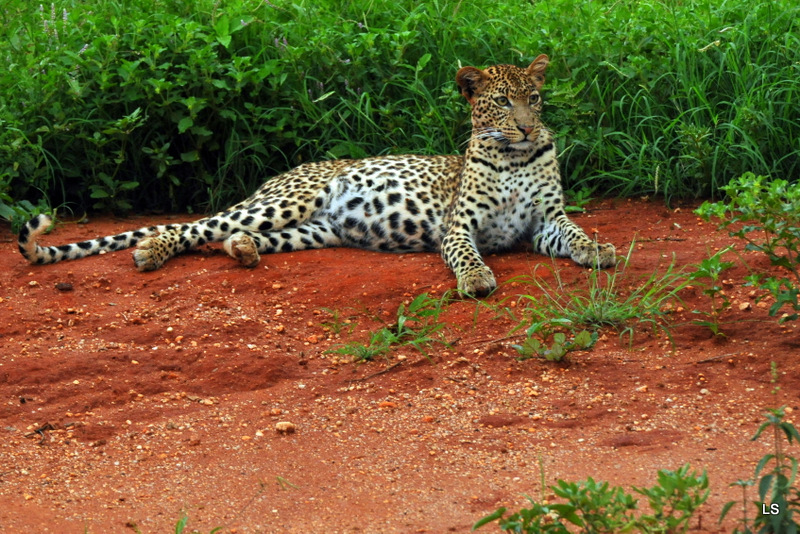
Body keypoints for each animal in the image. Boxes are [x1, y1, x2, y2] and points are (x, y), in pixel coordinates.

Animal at [20, 56, 620, 300]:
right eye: (501, 103)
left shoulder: (545, 220)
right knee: (192, 227)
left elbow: (573, 232)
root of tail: (286, 174)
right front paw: (475, 281)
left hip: (316, 228)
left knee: (233, 238)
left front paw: (600, 250)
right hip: (285, 202)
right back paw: (152, 251)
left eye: (534, 99)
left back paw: (243, 251)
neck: (514, 158)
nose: (526, 127)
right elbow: (467, 255)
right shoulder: (460, 225)